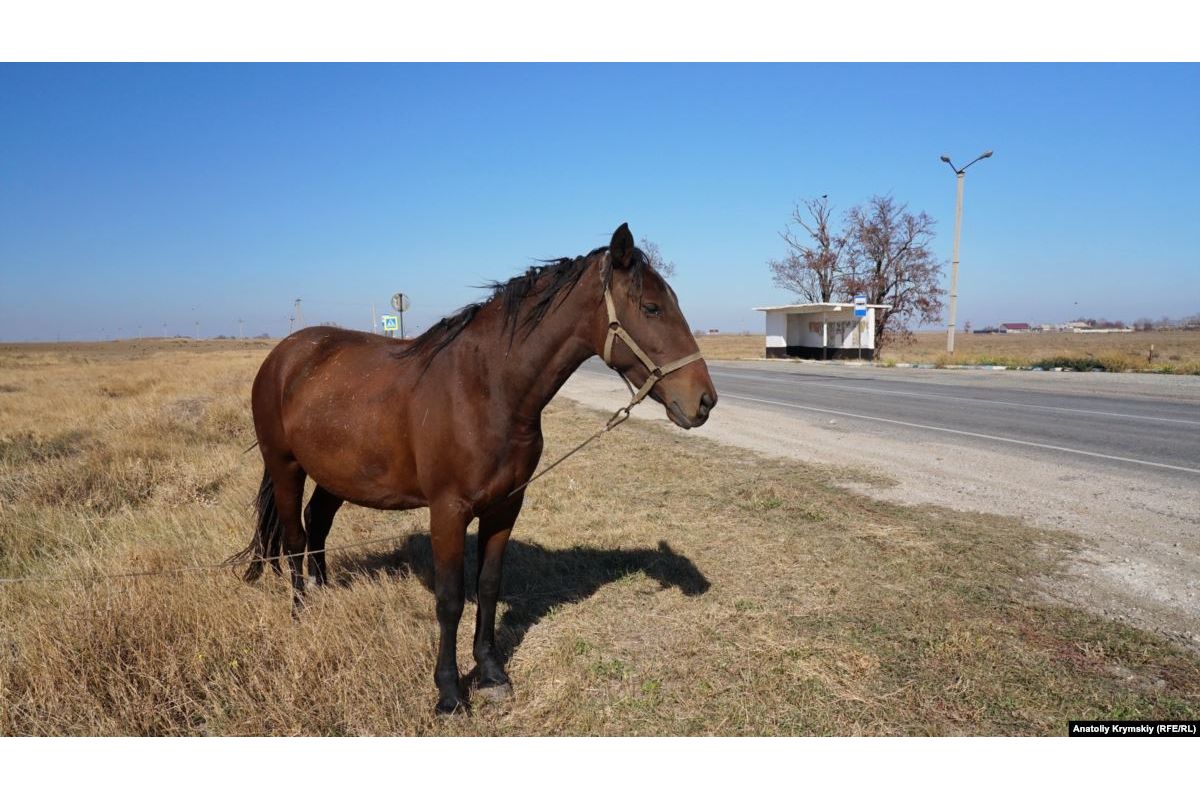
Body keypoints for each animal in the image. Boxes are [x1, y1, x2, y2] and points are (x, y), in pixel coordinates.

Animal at [238, 224, 715, 714]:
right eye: (652, 307)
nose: (704, 401)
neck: (485, 388)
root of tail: (284, 355)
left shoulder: (505, 506)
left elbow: (488, 586)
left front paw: (490, 673)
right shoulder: (448, 511)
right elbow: (450, 599)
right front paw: (449, 692)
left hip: (338, 475)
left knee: (317, 525)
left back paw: (324, 590)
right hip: (286, 466)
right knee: (294, 538)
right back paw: (302, 611)